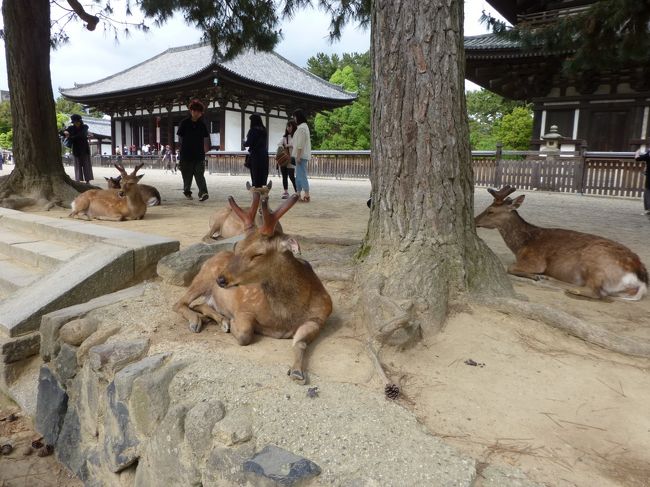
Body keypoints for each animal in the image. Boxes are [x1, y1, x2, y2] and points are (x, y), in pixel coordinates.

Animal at [174, 192, 331, 384]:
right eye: (236, 246)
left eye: (258, 254)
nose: (221, 279)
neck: (285, 316)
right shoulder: (244, 308)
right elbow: (244, 334)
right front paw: (233, 323)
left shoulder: (319, 317)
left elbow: (300, 342)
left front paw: (296, 371)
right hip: (203, 276)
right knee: (180, 303)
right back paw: (198, 322)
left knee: (198, 304)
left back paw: (219, 320)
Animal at [475, 186, 648, 300]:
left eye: (490, 211)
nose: (474, 219)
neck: (520, 245)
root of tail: (640, 278)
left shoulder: (536, 260)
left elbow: (510, 268)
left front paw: (536, 276)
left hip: (596, 261)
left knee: (595, 292)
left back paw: (553, 282)